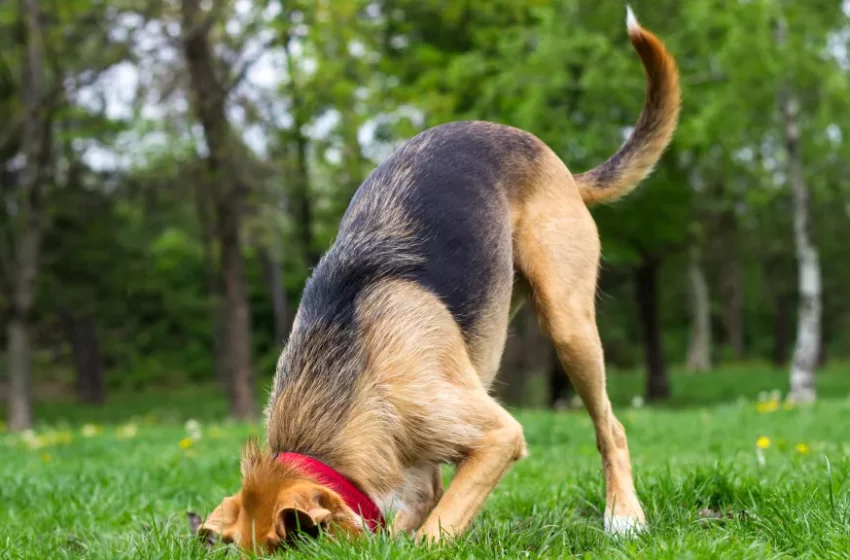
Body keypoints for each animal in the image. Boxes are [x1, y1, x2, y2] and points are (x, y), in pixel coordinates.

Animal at [195, 8, 680, 552]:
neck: (347, 376)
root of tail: (560, 168)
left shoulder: (495, 436)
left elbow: (434, 531)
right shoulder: (418, 468)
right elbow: (423, 506)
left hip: (568, 324)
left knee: (610, 427)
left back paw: (624, 515)